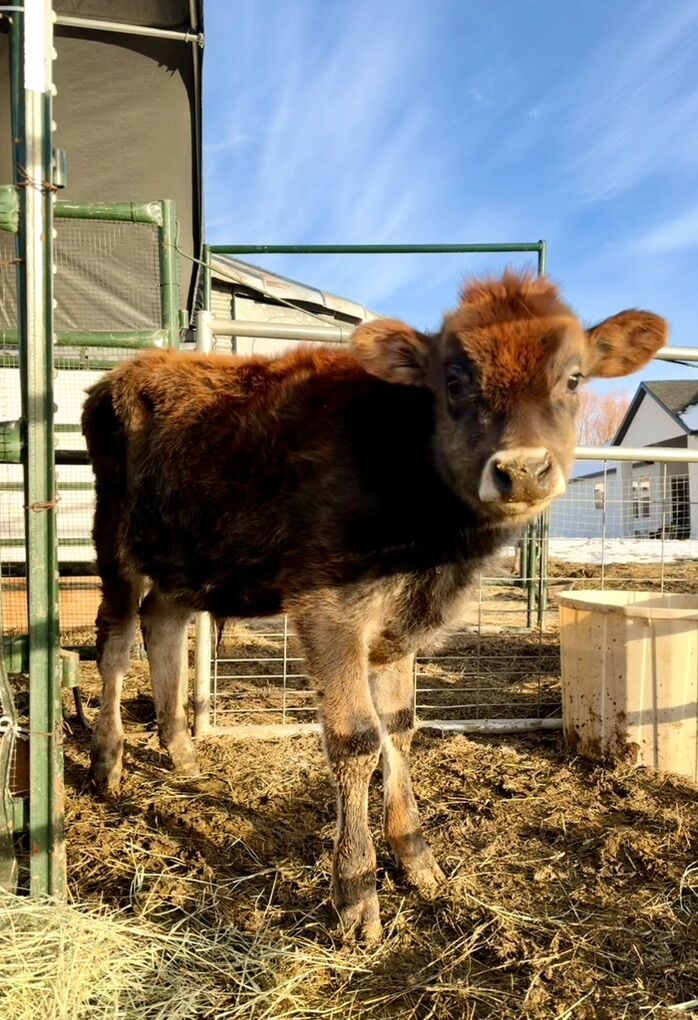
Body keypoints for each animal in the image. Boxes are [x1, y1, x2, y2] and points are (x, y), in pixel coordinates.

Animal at [81, 271, 667, 942]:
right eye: (453, 381)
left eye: (573, 378)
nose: (522, 470)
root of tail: (121, 376)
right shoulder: (328, 614)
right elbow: (357, 739)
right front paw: (357, 894)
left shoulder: (398, 631)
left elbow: (401, 728)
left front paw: (418, 860)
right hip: (115, 541)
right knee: (116, 641)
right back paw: (107, 763)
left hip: (188, 562)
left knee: (164, 624)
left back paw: (180, 752)